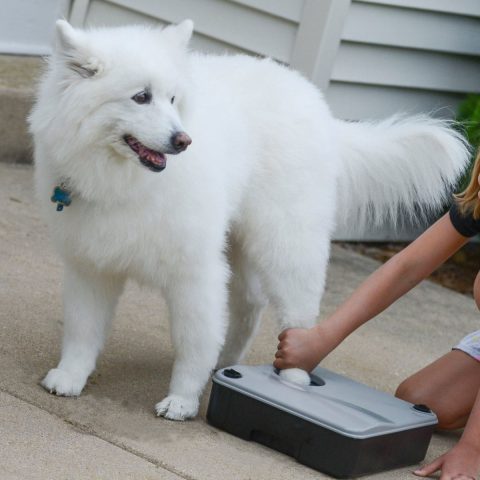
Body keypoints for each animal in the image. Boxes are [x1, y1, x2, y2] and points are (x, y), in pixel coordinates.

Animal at [28, 18, 466, 418]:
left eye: (172, 99)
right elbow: (83, 330)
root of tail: (321, 110)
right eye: (141, 97)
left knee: (298, 317)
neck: (125, 179)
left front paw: (182, 400)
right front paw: (70, 377)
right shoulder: (91, 266)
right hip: (240, 243)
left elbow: (192, 341)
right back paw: (227, 362)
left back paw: (292, 380)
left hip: (286, 245)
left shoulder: (195, 273)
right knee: (251, 304)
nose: (183, 141)